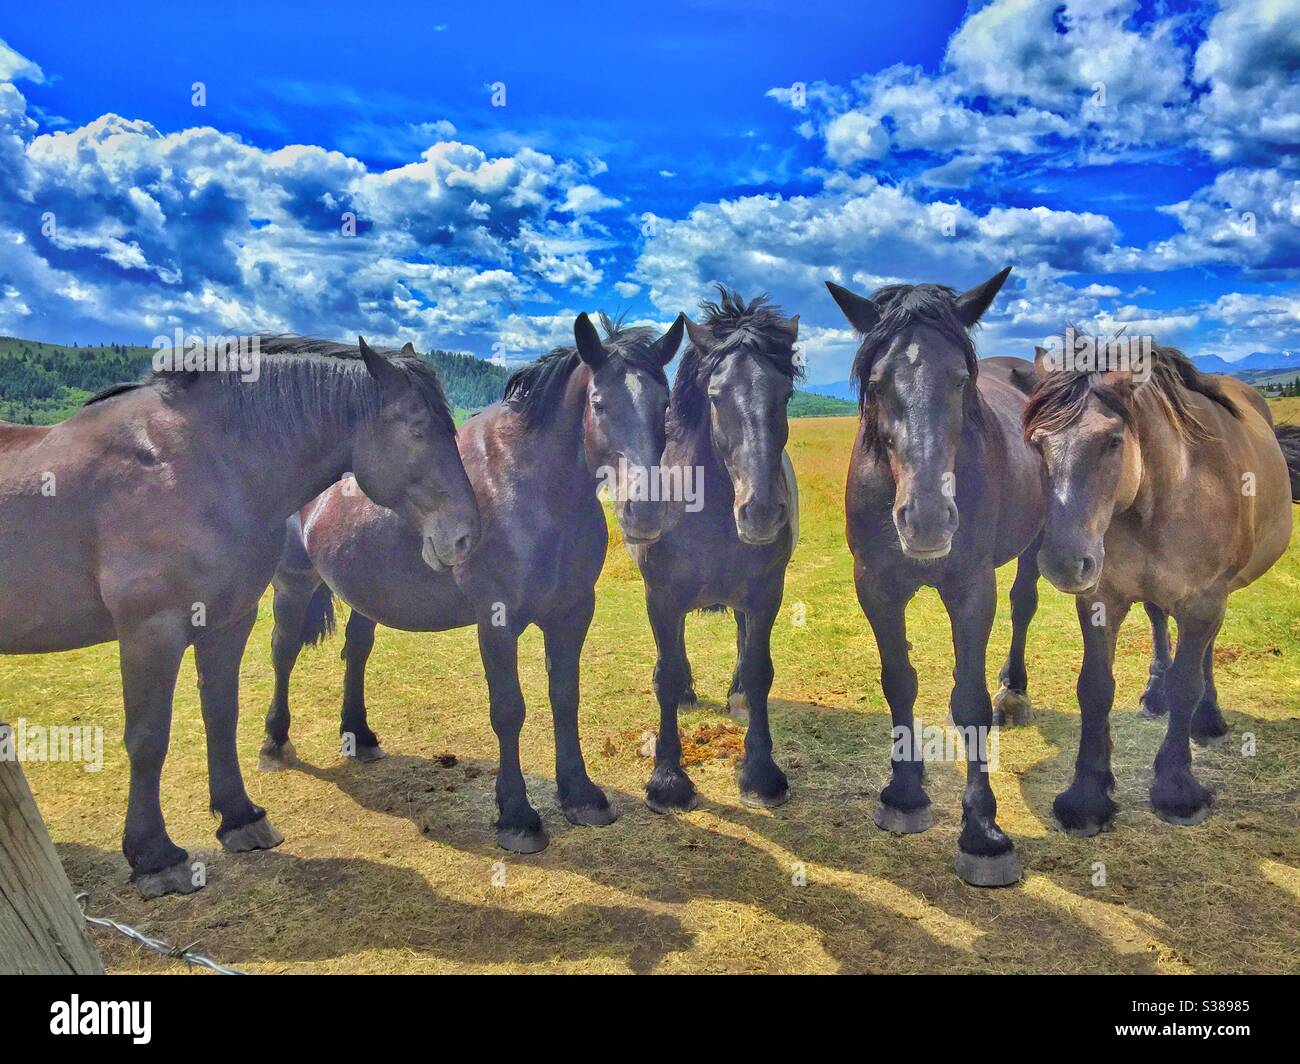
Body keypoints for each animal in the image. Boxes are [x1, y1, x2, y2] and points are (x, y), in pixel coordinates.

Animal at [0, 337, 479, 897]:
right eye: (418, 430)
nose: (466, 536)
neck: (199, 467)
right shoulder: (150, 632)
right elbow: (147, 738)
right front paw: (155, 856)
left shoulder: (228, 622)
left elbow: (221, 714)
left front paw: (239, 817)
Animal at [260, 312, 686, 853]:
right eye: (599, 403)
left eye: (665, 404)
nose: (645, 511)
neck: (535, 489)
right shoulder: (496, 621)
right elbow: (509, 710)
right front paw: (517, 816)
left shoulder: (572, 614)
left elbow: (565, 698)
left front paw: (581, 795)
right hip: (293, 583)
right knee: (283, 651)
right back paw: (274, 744)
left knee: (356, 650)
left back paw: (359, 734)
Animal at [629, 289, 801, 814]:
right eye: (715, 396)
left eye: (785, 395)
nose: (761, 511)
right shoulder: (660, 596)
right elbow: (665, 673)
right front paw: (667, 779)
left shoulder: (766, 593)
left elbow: (760, 669)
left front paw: (761, 774)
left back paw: (738, 696)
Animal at [827, 267, 1043, 887]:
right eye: (876, 383)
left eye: (960, 379)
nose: (925, 517)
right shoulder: (875, 585)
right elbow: (898, 680)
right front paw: (904, 791)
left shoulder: (971, 587)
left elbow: (968, 698)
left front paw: (984, 832)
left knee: (1023, 604)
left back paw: (1013, 692)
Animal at [1023, 344, 1297, 834]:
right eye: (1038, 443)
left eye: (1113, 440)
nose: (1064, 563)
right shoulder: (1100, 599)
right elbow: (1095, 686)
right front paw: (1087, 794)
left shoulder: (1204, 600)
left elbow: (1188, 682)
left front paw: (1177, 789)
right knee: (1156, 619)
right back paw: (1156, 693)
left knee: (1206, 649)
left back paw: (1207, 718)